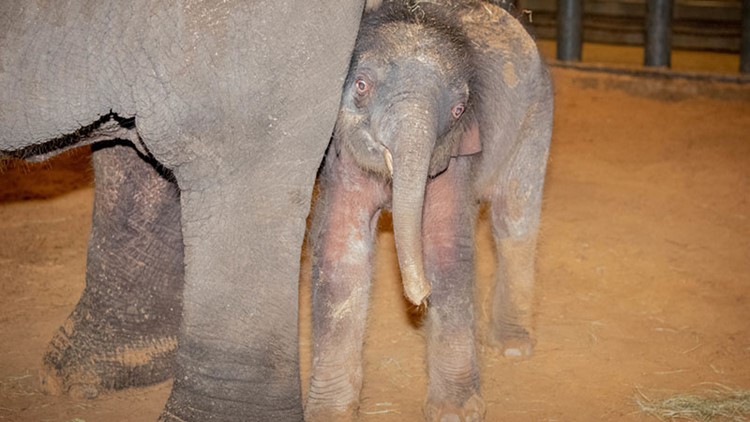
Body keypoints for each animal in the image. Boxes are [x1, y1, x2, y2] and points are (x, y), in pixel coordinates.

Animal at [304, 1, 552, 420]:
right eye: (361, 85)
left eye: (458, 109)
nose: (420, 297)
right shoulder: (341, 155)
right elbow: (341, 247)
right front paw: (328, 413)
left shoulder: (456, 154)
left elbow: (445, 245)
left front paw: (455, 412)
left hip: (537, 120)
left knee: (515, 219)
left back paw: (512, 347)